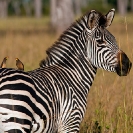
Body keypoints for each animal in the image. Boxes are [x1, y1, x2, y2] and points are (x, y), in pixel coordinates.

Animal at [0, 8, 131, 132]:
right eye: (100, 42)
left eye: (114, 39)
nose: (127, 65)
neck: (73, 75)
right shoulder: (71, 122)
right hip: (17, 122)